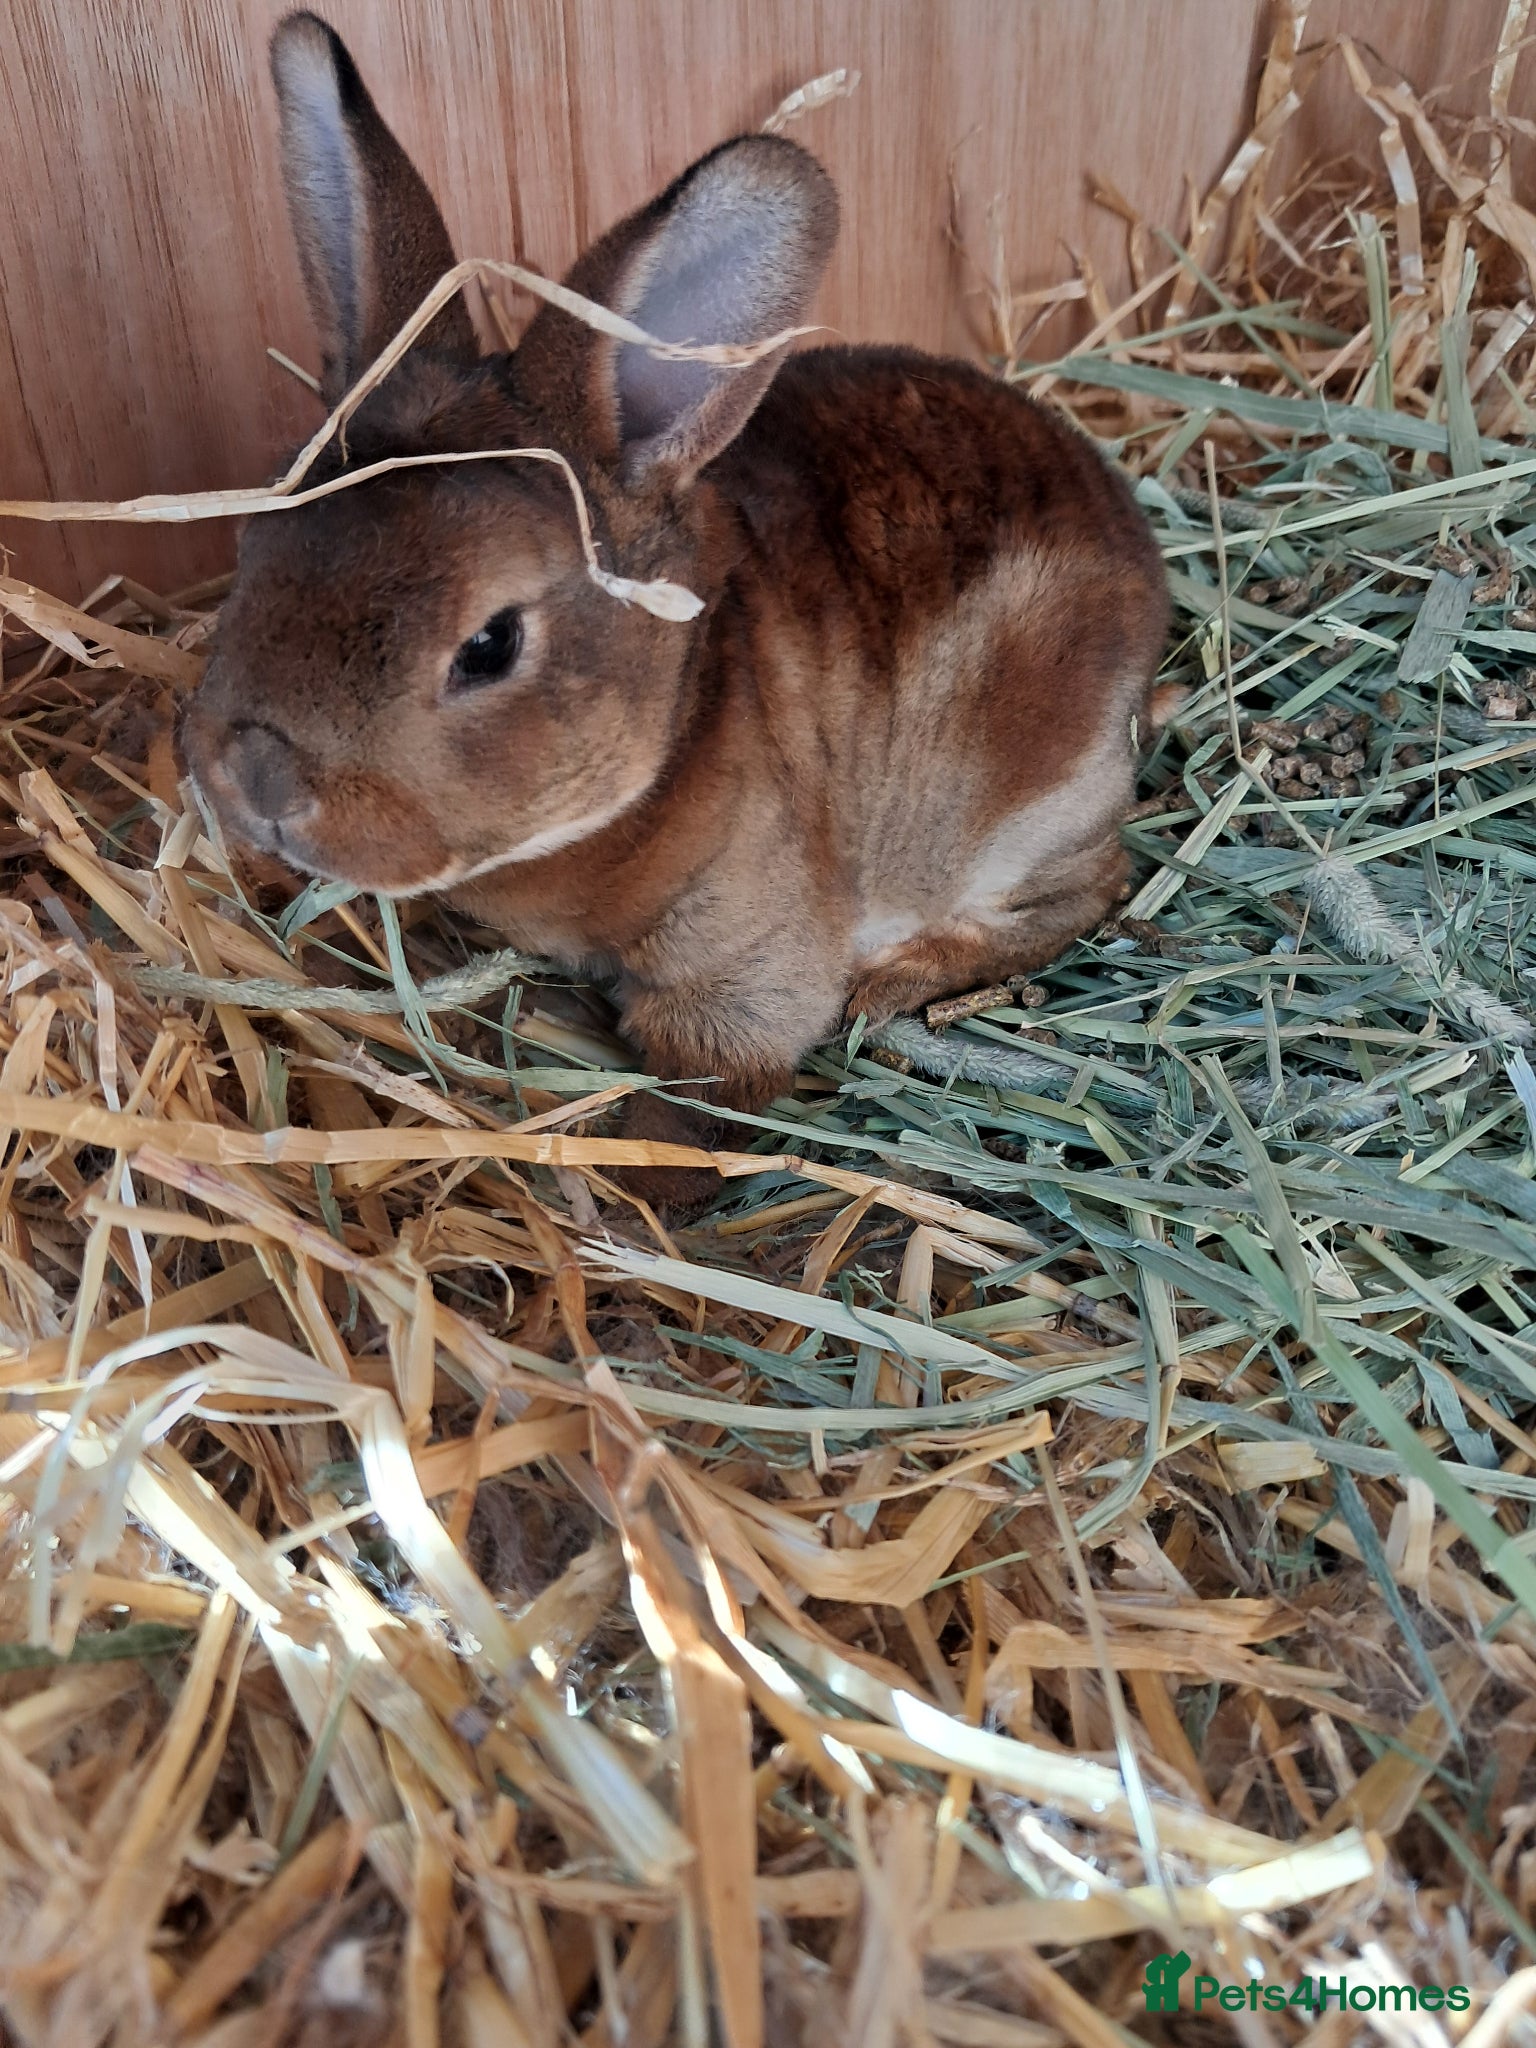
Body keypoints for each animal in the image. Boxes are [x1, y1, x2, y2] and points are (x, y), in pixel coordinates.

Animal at [181, 11, 1171, 1210]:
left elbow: (702, 1093)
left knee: (1090, 888)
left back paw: (902, 977)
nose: (261, 780)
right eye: (253, 537)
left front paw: (617, 1177)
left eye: (491, 643)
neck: (671, 729)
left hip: (1028, 804)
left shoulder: (737, 964)